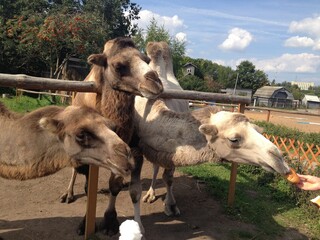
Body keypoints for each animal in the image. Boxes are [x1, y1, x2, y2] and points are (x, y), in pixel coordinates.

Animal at [61, 36, 164, 235]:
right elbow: (88, 187)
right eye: (118, 65)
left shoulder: (133, 149)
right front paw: (85, 224)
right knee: (75, 168)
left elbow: (119, 186)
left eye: (146, 60)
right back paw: (68, 194)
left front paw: (112, 222)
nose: (155, 82)